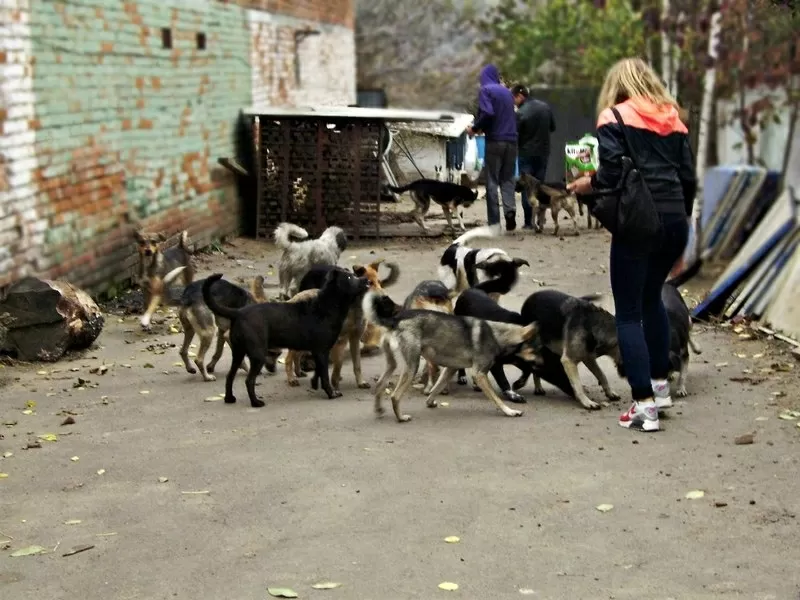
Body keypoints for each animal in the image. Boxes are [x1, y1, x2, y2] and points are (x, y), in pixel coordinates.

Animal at [202, 270, 368, 408]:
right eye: (350, 277)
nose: (366, 279)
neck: (327, 306)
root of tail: (238, 313)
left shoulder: (317, 351)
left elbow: (319, 371)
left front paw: (314, 383)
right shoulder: (322, 351)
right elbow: (325, 375)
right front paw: (331, 393)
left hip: (238, 353)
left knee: (230, 376)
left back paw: (229, 398)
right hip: (257, 355)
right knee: (249, 380)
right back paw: (256, 402)